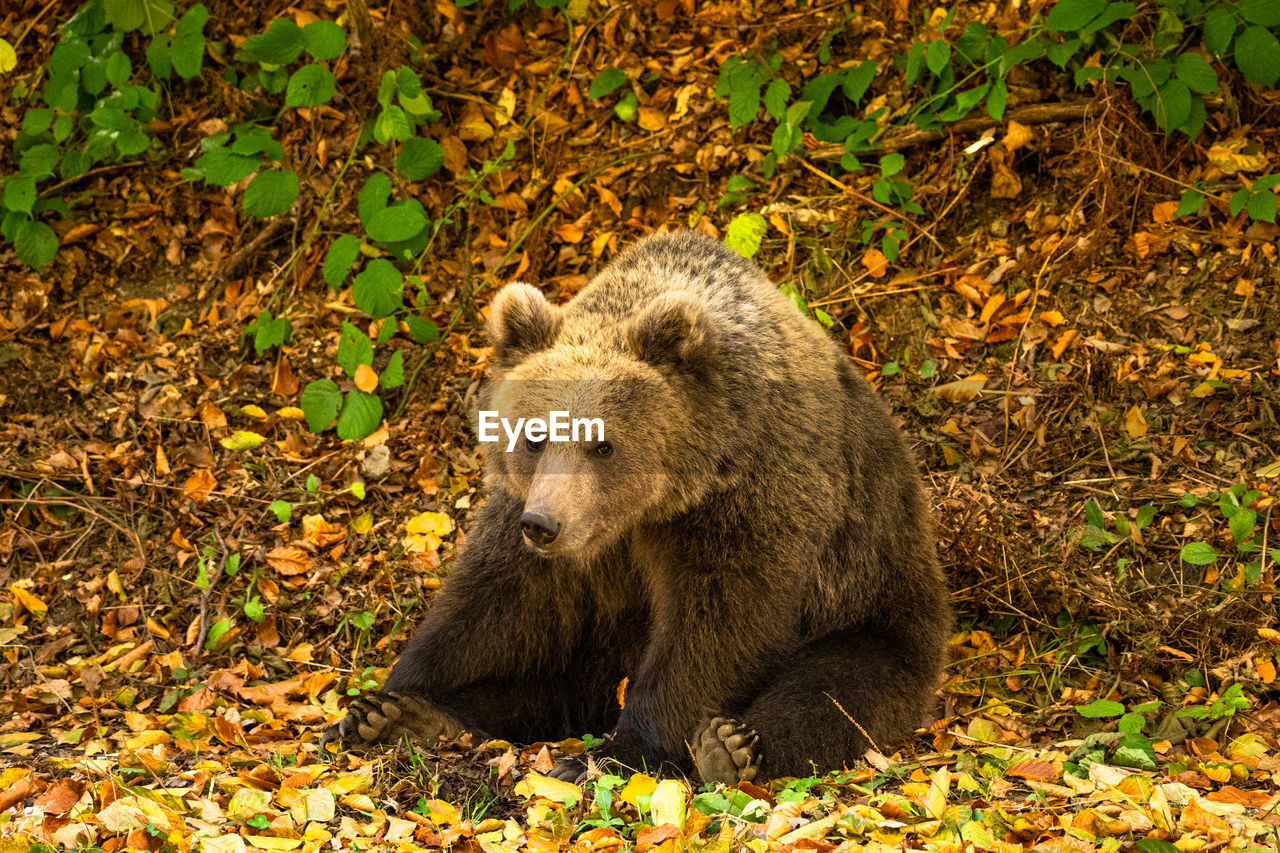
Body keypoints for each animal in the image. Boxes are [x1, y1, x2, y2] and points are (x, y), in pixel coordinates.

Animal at [322, 229, 952, 778]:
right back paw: (424, 720)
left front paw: (614, 754)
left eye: (602, 442)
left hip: (874, 596)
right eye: (535, 435)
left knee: (834, 690)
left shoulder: (751, 501)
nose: (544, 526)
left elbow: (718, 626)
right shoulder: (539, 522)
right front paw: (384, 701)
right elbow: (489, 602)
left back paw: (732, 747)